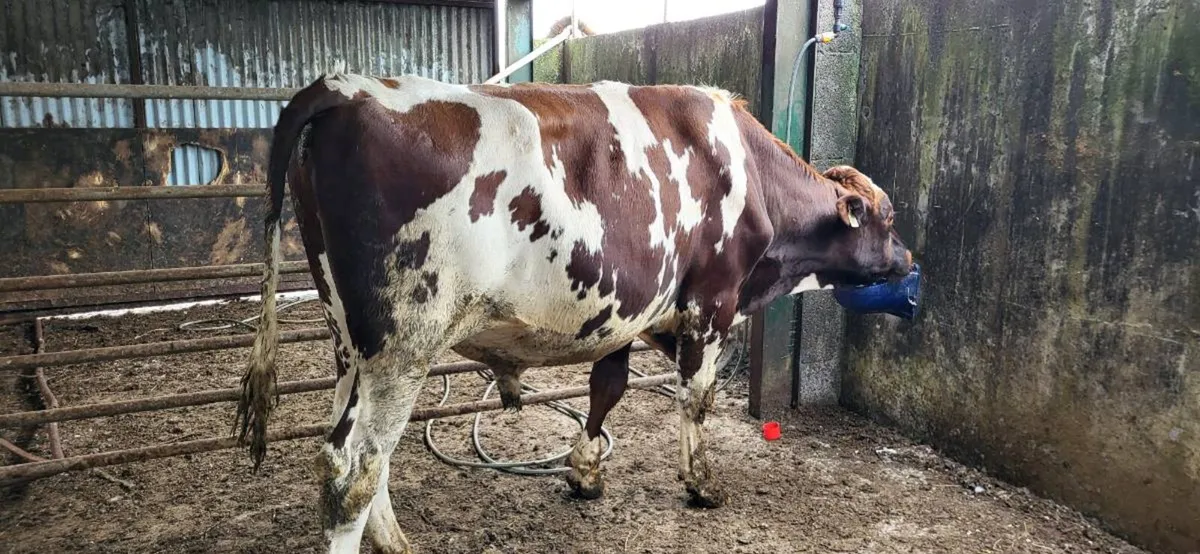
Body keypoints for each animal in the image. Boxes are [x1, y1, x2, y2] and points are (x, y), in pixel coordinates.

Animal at [233, 73, 913, 554]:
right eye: (888, 220)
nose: (908, 262)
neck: (750, 173)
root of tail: (344, 86)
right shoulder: (710, 304)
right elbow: (697, 400)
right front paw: (701, 484)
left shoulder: (626, 309)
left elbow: (607, 387)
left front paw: (584, 472)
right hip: (405, 343)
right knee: (354, 469)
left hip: (351, 340)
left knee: (348, 451)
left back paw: (396, 541)